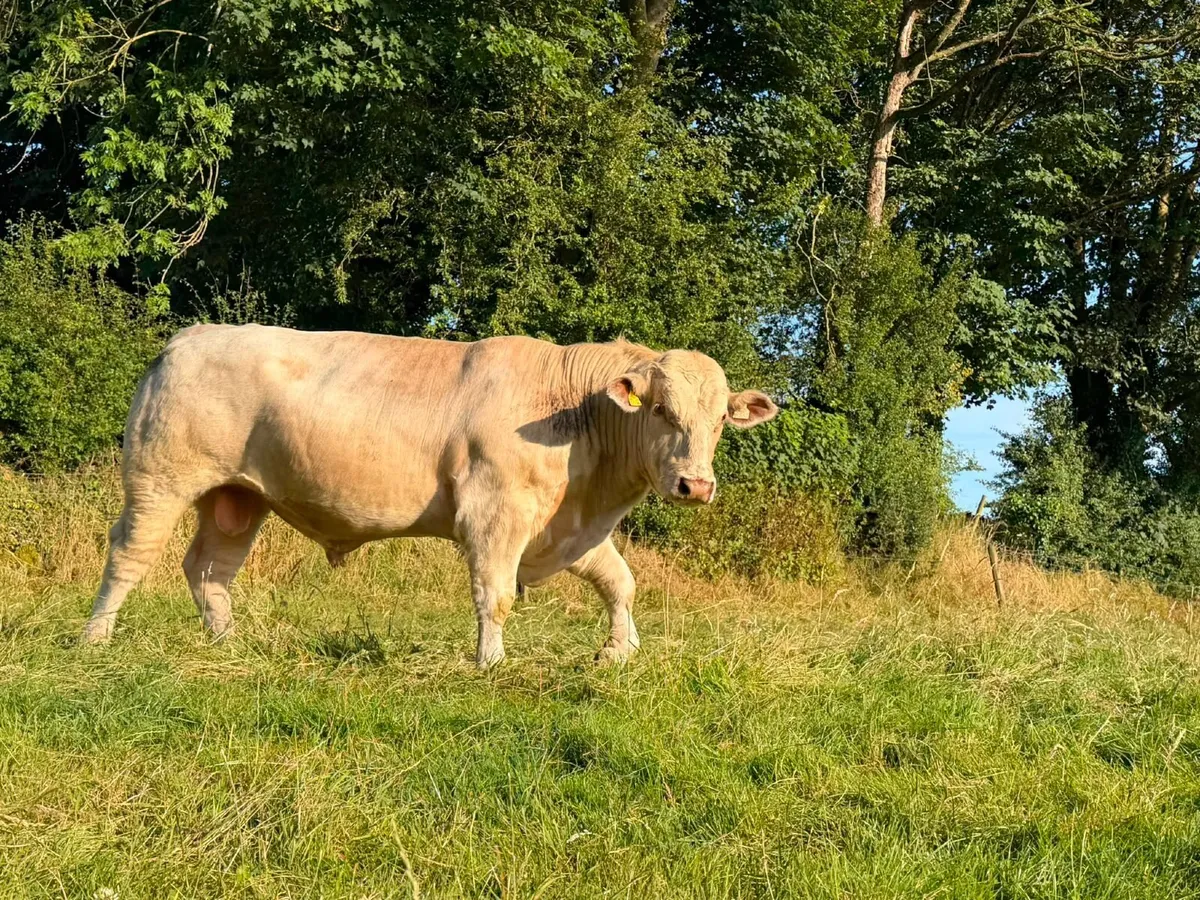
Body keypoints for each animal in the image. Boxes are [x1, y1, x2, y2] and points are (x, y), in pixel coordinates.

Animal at [81, 325, 778, 667]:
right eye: (661, 409)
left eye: (720, 419)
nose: (696, 484)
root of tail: (187, 338)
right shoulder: (496, 512)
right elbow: (495, 595)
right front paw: (490, 663)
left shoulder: (566, 527)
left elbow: (620, 582)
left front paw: (618, 650)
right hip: (160, 478)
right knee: (130, 556)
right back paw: (95, 639)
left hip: (238, 497)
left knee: (210, 569)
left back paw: (229, 644)